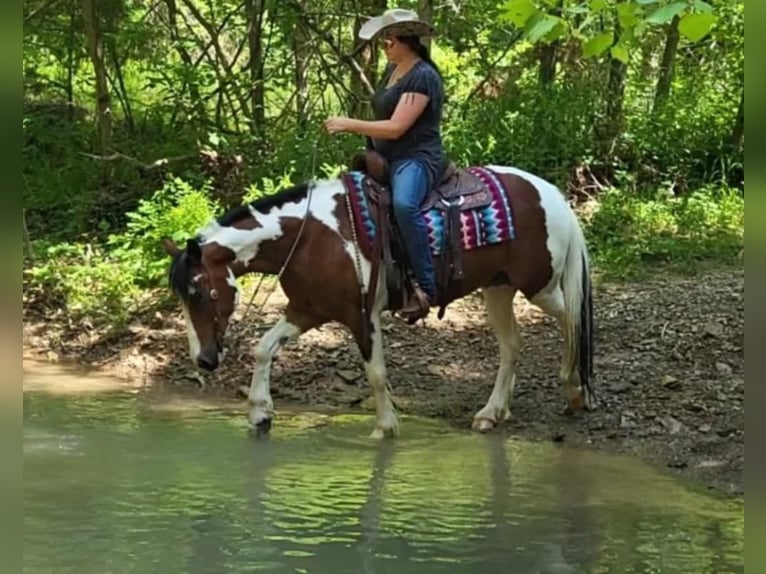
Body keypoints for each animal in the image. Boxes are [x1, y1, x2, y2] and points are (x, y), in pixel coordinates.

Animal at [161, 160, 595, 438]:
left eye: (200, 291)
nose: (204, 360)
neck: (310, 236)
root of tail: (550, 193)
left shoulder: (360, 314)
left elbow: (375, 372)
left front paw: (385, 429)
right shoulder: (306, 310)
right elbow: (264, 348)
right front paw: (259, 414)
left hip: (539, 286)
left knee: (572, 319)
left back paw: (576, 391)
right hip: (498, 288)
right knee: (512, 345)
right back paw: (492, 412)